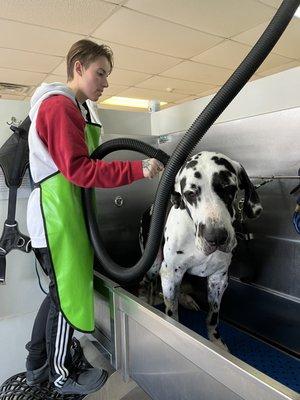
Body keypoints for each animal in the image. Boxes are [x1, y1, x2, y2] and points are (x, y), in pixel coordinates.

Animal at [139, 152, 262, 352]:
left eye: (229, 188)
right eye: (190, 194)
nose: (216, 237)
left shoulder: (219, 279)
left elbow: (213, 317)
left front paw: (216, 342)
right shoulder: (170, 273)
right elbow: (172, 314)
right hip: (153, 266)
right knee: (146, 282)